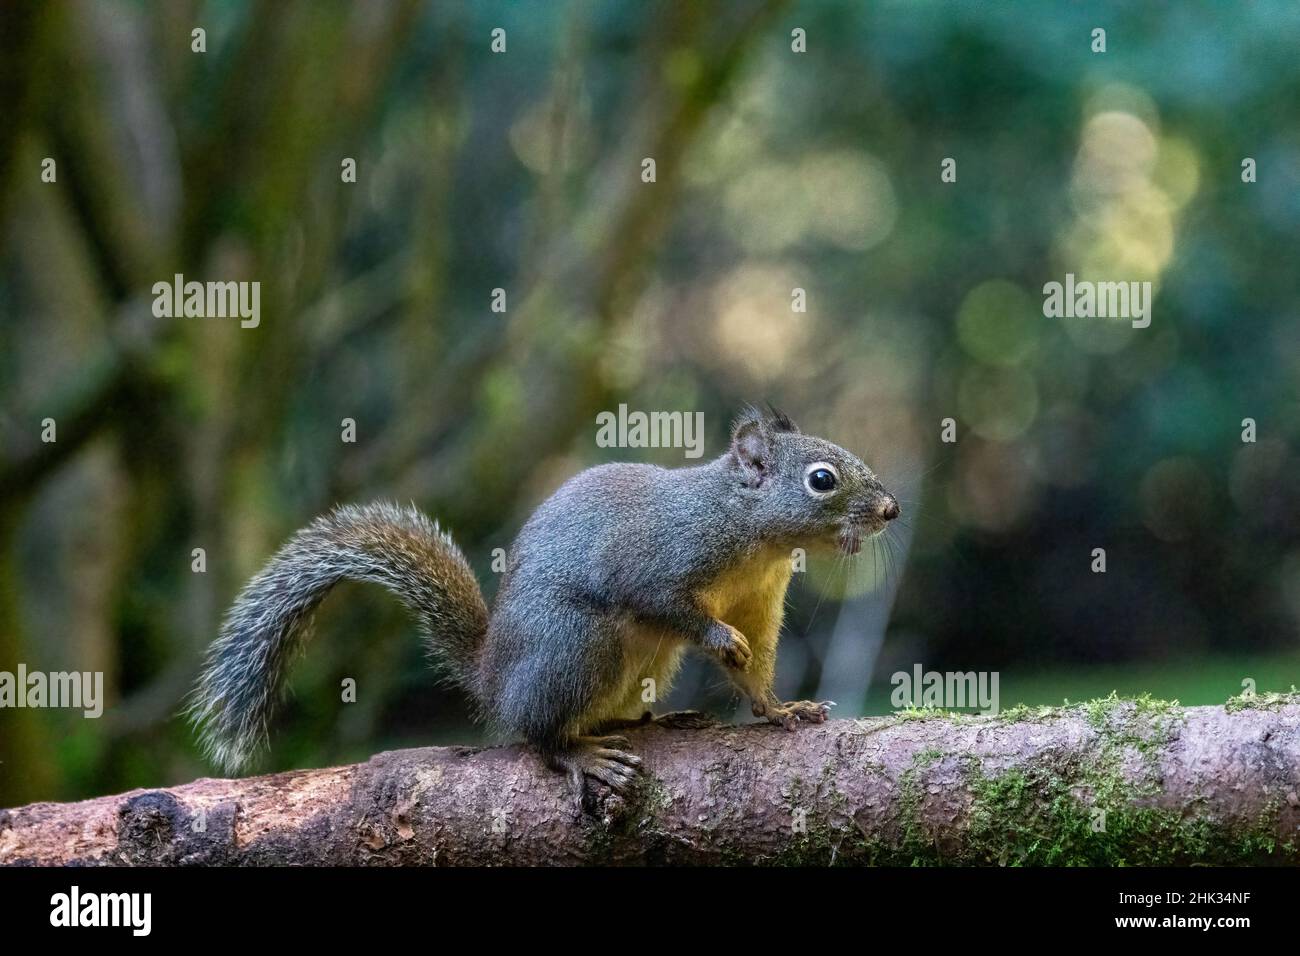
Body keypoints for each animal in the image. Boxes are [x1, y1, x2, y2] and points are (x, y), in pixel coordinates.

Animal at [188, 406, 900, 798]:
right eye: (822, 479)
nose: (892, 509)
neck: (752, 534)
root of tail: (493, 680)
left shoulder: (759, 598)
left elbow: (756, 669)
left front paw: (780, 710)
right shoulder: (662, 559)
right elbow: (672, 607)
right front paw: (722, 640)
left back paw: (649, 720)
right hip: (579, 645)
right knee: (538, 734)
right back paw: (581, 753)